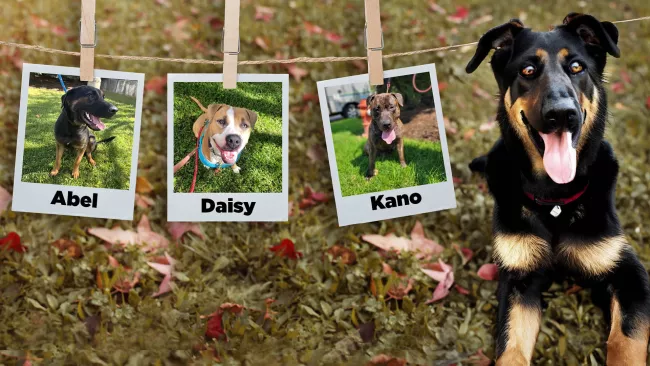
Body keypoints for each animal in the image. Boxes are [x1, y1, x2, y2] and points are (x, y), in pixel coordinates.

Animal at [466, 12, 648, 364]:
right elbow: (510, 349)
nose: (562, 115)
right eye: (527, 71)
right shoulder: (519, 280)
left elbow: (625, 342)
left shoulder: (630, 273)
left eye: (576, 67)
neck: (555, 199)